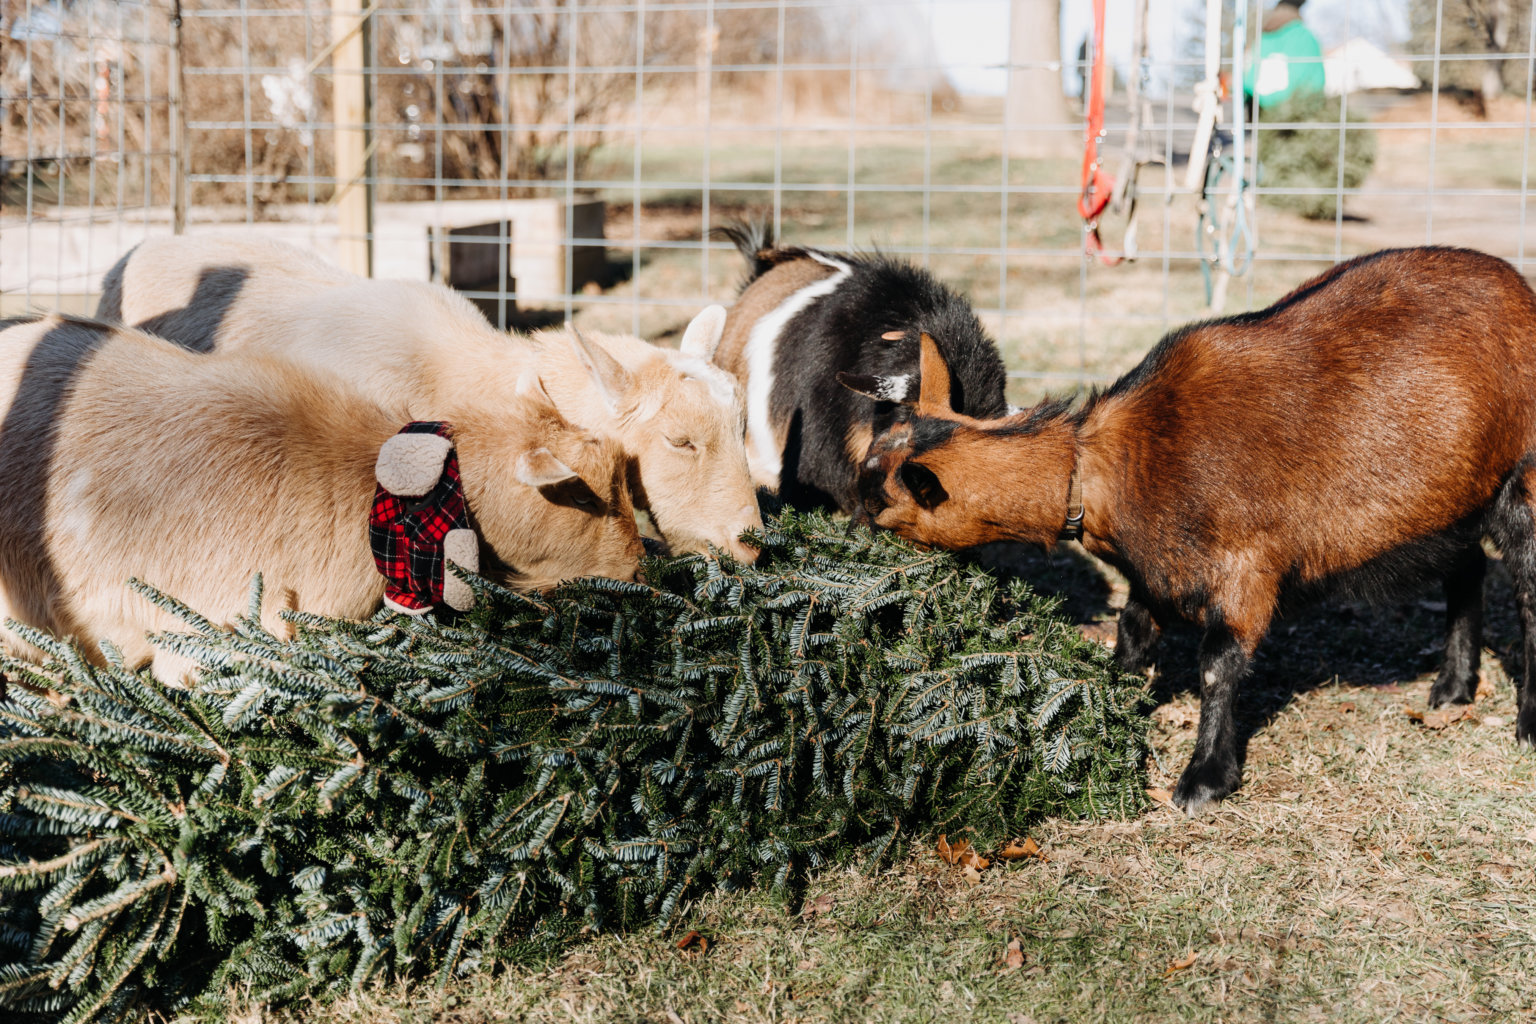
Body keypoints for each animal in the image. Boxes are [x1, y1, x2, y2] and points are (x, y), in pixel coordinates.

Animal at [847, 245, 1536, 810]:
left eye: (880, 507)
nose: (848, 542)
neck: (1104, 468)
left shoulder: (1247, 567)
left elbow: (1218, 663)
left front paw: (1204, 779)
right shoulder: (1156, 571)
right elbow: (1132, 632)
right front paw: (1109, 699)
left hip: (1520, 481)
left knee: (1526, 591)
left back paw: (1526, 722)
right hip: (1444, 505)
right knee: (1467, 566)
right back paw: (1453, 688)